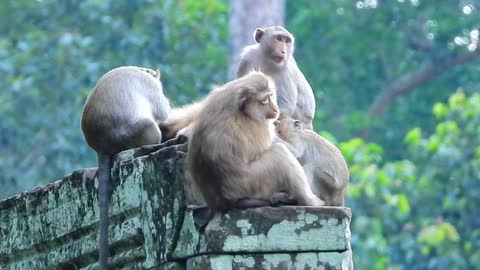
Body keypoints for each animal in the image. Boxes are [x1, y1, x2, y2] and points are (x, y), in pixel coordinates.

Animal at [186, 72, 324, 213]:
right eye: (264, 100)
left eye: (270, 96)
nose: (275, 108)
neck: (238, 107)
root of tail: (226, 201)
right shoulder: (260, 125)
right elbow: (291, 151)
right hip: (254, 183)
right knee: (280, 154)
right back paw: (310, 201)